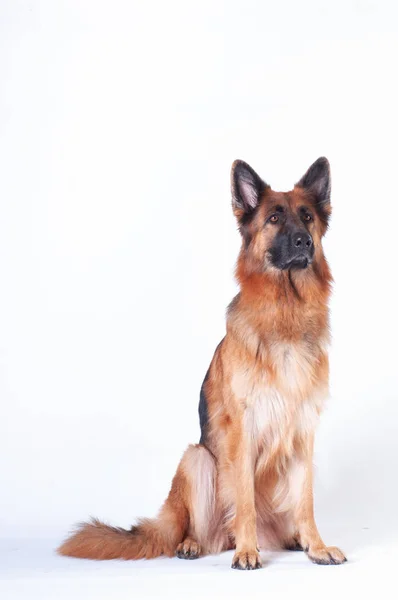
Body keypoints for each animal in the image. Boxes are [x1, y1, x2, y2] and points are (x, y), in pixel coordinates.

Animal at [57, 157, 346, 568]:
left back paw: (290, 539)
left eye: (307, 217)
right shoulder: (243, 429)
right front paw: (247, 551)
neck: (285, 312)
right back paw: (198, 543)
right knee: (206, 527)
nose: (304, 241)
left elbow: (305, 500)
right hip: (197, 459)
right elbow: (244, 499)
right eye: (274, 218)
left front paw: (317, 546)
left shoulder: (303, 432)